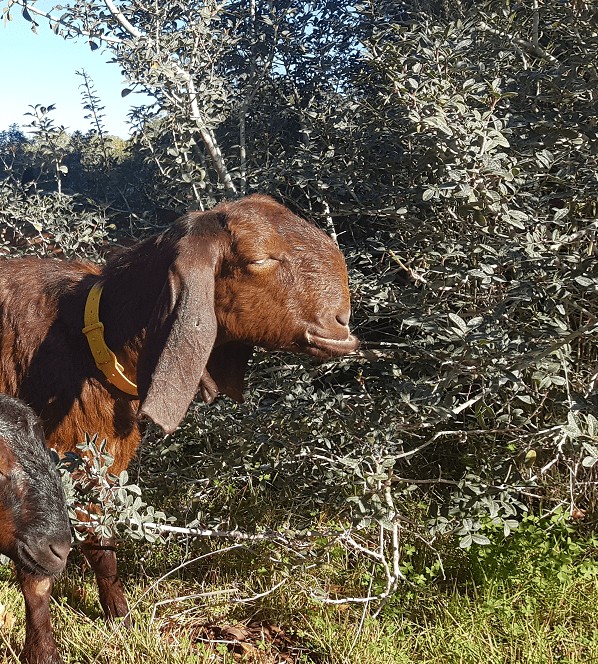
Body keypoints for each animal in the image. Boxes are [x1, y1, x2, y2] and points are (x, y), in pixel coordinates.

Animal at [0, 195, 358, 624]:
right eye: (257, 258)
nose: (341, 324)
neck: (88, 340)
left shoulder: (99, 463)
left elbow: (102, 543)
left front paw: (119, 615)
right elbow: (39, 572)